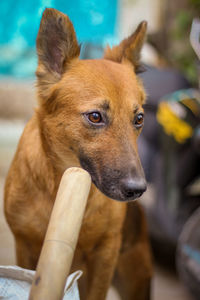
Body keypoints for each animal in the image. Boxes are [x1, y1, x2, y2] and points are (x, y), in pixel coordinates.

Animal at [4, 8, 152, 300]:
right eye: (95, 117)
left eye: (139, 119)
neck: (60, 187)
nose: (137, 190)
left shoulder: (104, 257)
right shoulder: (26, 251)